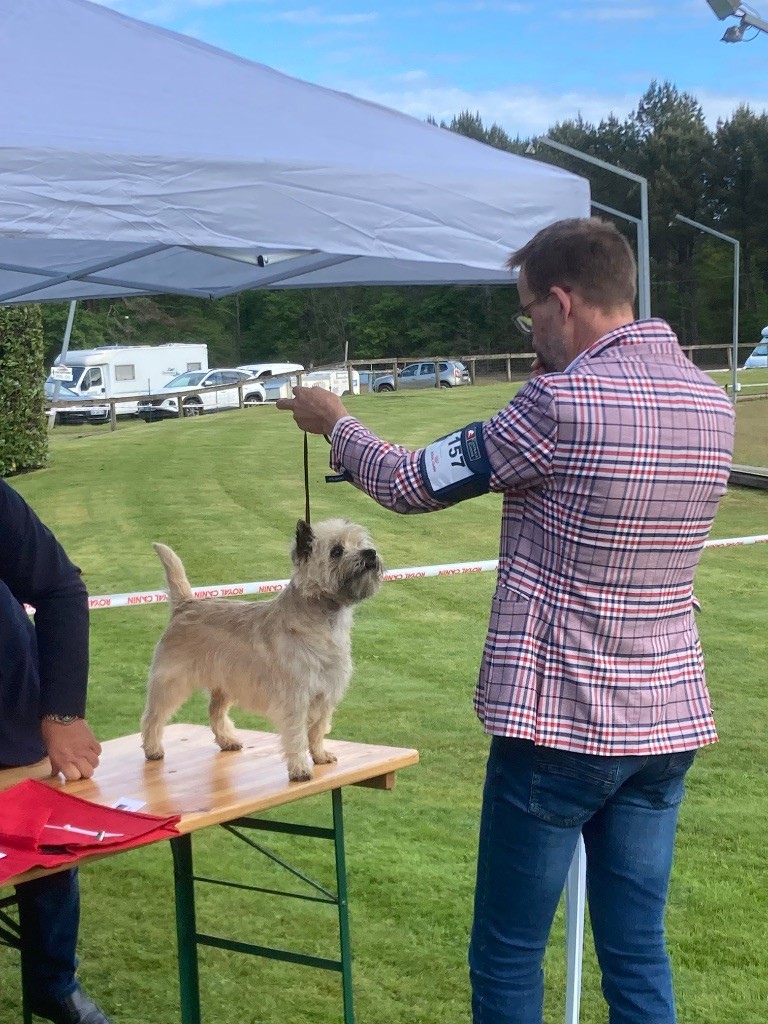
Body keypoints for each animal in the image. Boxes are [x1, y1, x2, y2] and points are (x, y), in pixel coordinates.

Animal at [140, 524, 382, 778]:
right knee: (153, 715)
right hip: (172, 681)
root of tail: (185, 604)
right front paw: (300, 769)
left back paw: (227, 740)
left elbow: (317, 729)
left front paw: (320, 755)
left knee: (215, 711)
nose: (370, 553)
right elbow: (297, 735)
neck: (323, 620)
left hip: (224, 682)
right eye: (336, 551)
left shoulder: (325, 694)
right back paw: (153, 749)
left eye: (361, 543)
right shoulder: (295, 697)